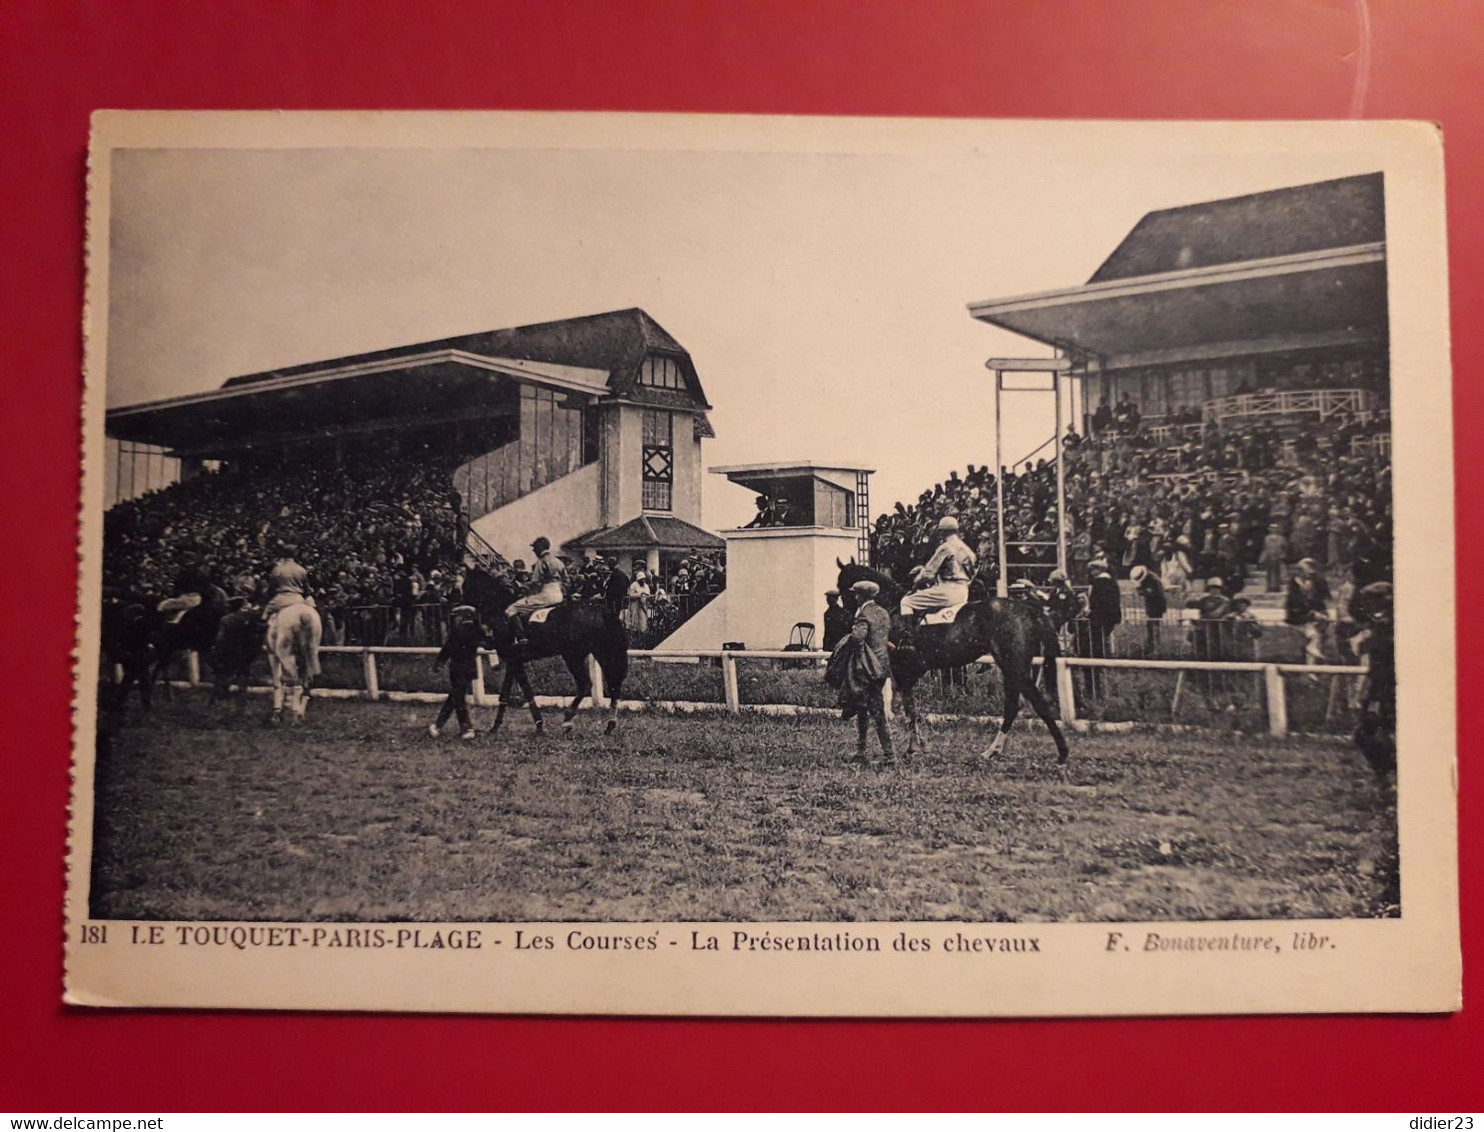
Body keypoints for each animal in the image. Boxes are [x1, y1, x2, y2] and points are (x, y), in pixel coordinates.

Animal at [463, 566, 626, 735]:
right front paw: (534, 724)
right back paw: (610, 724)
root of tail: (600, 610)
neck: (502, 615)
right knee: (613, 683)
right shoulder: (515, 662)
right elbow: (516, 693)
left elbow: (515, 693)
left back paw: (568, 720)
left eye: (465, 585)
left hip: (573, 656)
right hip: (600, 653)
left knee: (585, 683)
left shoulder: (514, 660)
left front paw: (499, 726)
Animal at [836, 563, 1068, 765]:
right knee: (1018, 703)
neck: (893, 611)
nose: (849, 617)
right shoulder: (908, 674)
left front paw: (912, 749)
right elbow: (912, 711)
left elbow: (910, 711)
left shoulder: (903, 673)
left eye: (842, 586)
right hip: (1015, 666)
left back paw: (1055, 752)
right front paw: (919, 747)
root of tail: (1028, 608)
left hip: (1014, 665)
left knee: (1029, 703)